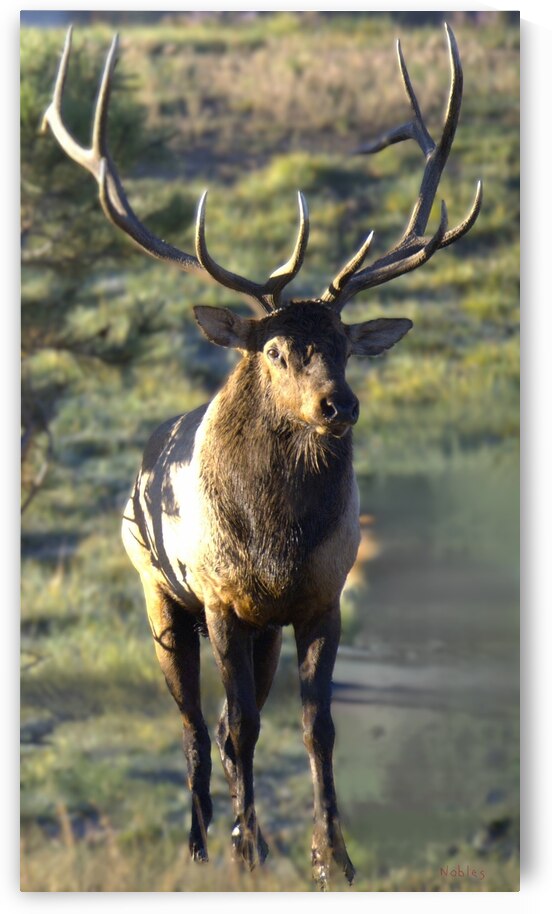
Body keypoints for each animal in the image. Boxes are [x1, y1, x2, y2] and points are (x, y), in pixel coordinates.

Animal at [41, 23, 481, 889]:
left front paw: (331, 854)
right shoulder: (219, 598)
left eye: (343, 343)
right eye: (276, 350)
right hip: (159, 593)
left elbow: (317, 727)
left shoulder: (319, 597)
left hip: (260, 628)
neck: (276, 540)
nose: (339, 405)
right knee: (194, 726)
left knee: (221, 723)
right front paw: (247, 849)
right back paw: (204, 842)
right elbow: (241, 726)